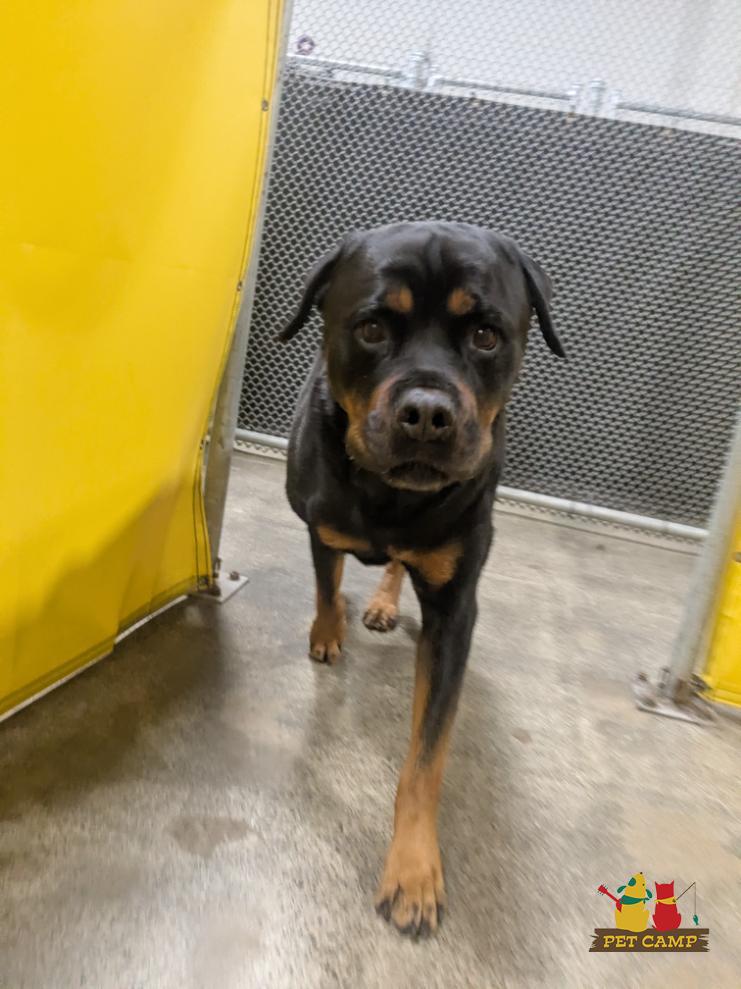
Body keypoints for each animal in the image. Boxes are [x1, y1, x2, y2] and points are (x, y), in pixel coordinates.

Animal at [280, 221, 564, 936]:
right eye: (372, 328)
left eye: (487, 334)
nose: (428, 413)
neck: (391, 500)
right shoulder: (321, 523)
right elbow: (327, 581)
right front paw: (327, 632)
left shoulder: (455, 610)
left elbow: (426, 758)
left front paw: (412, 872)